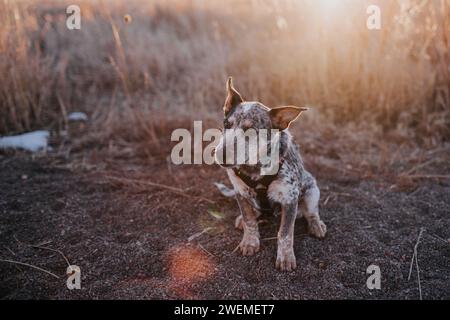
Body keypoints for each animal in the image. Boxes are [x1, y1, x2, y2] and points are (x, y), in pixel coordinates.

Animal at [214, 77, 326, 270]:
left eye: (251, 131)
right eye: (226, 124)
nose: (220, 154)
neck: (255, 167)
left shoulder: (290, 197)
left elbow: (285, 233)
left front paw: (286, 257)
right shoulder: (239, 192)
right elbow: (250, 221)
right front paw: (250, 242)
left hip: (312, 189)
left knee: (311, 212)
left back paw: (316, 225)